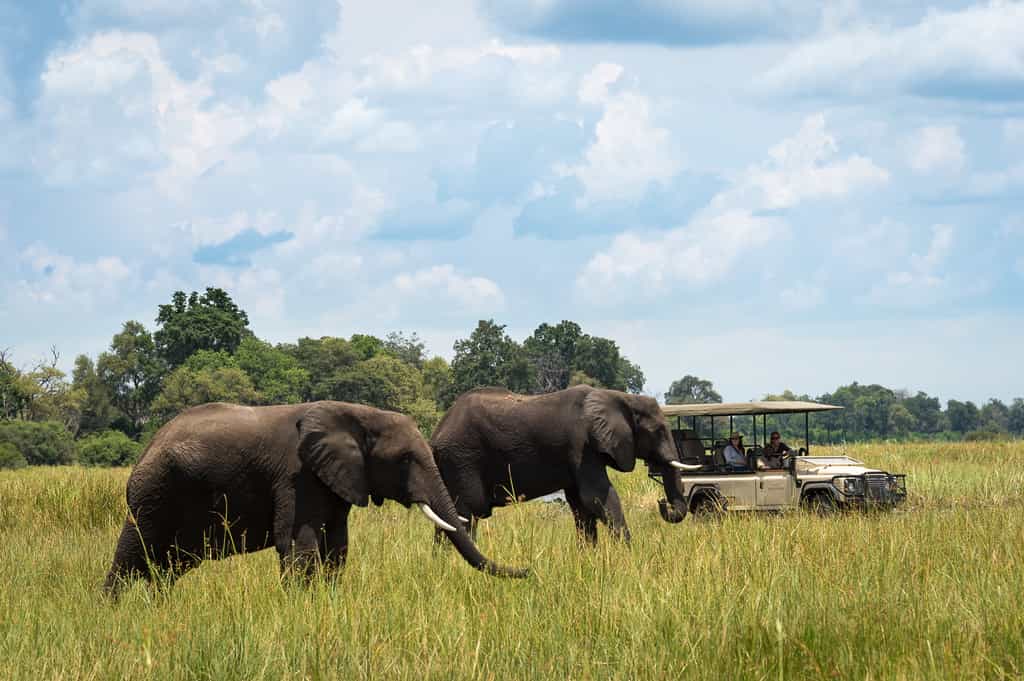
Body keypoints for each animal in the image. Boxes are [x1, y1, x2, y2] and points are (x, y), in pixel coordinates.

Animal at [104, 400, 528, 594]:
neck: (358, 414)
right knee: (131, 556)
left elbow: (337, 546)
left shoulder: (335, 479)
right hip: (152, 493)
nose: (529, 572)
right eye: (405, 460)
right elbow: (299, 544)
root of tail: (150, 443)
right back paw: (114, 610)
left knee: (165, 567)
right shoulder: (297, 477)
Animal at [430, 385, 700, 546]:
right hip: (461, 460)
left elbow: (581, 505)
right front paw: (627, 555)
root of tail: (436, 433)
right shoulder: (583, 446)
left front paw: (588, 559)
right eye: (658, 431)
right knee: (467, 513)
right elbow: (597, 497)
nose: (661, 502)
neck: (620, 397)